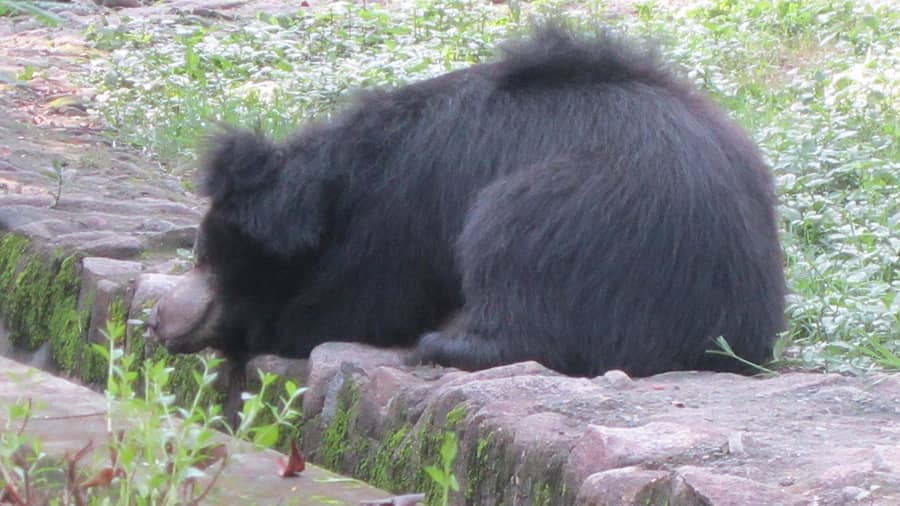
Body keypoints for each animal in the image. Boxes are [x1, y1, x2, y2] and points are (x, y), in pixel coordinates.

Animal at [151, 25, 784, 378]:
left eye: (205, 254)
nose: (158, 318)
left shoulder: (395, 219)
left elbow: (358, 303)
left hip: (568, 217)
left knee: (519, 271)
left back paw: (442, 345)